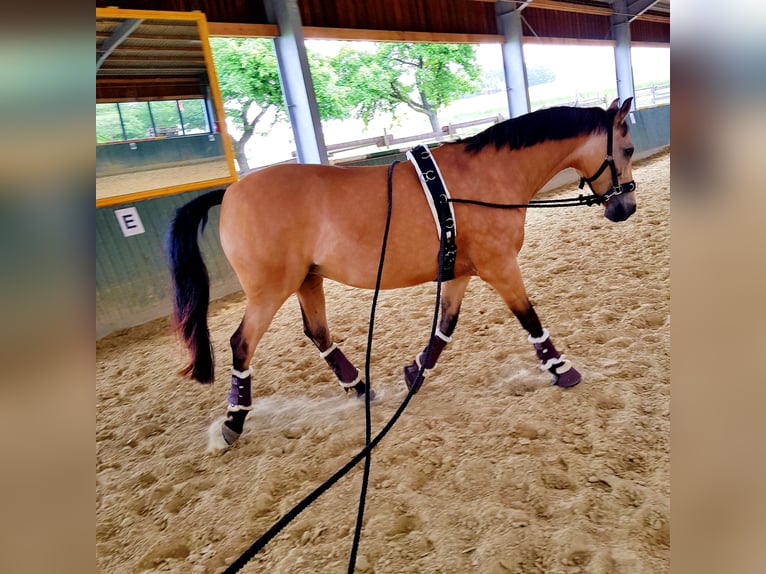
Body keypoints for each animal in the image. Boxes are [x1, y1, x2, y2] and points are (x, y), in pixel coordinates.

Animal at [171, 98, 640, 450]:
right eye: (629, 149)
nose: (625, 207)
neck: (486, 177)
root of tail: (232, 190)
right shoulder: (500, 266)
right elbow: (530, 318)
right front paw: (563, 370)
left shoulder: (459, 272)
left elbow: (444, 328)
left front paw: (414, 373)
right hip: (270, 290)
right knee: (242, 344)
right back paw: (234, 421)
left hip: (308, 279)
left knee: (318, 333)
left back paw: (360, 388)